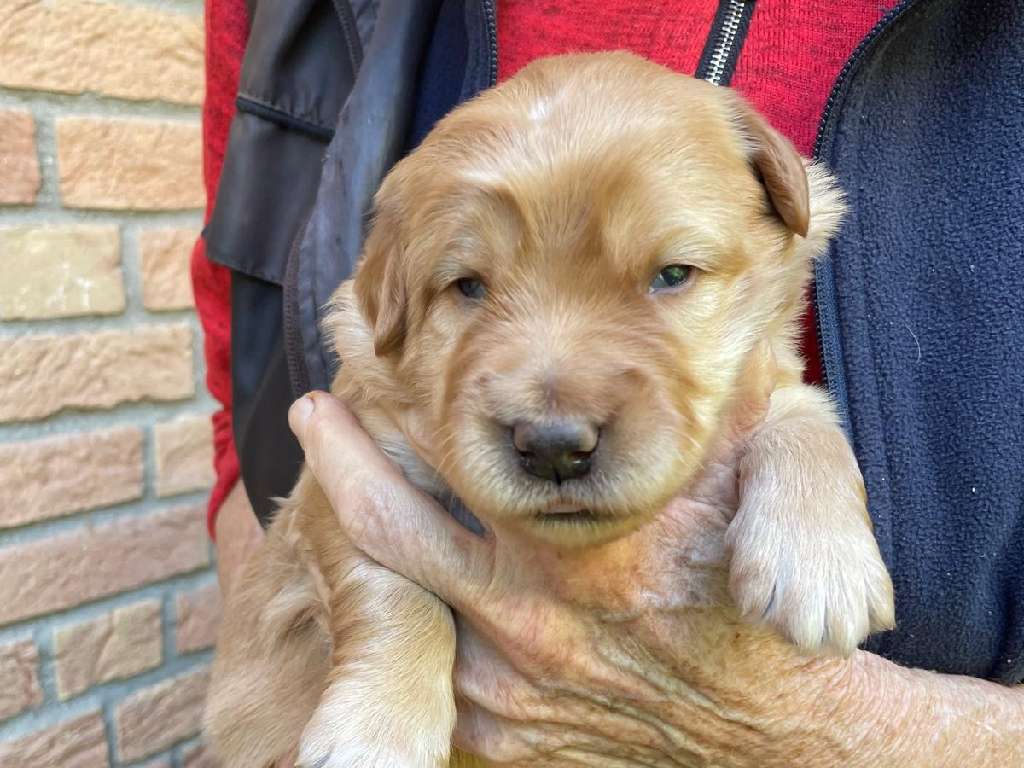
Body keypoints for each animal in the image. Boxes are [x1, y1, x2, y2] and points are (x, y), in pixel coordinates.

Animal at [205, 52, 895, 768]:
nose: (553, 447)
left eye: (673, 275)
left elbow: (802, 410)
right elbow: (389, 580)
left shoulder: (768, 370)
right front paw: (377, 728)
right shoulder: (348, 465)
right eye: (468, 287)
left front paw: (819, 559)